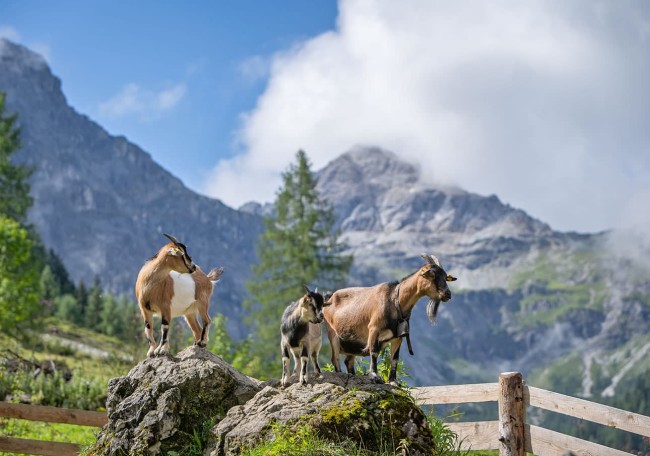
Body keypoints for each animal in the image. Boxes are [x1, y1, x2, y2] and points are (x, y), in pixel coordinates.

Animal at [323, 254, 456, 384]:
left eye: (445, 277)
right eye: (431, 274)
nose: (448, 294)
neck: (395, 300)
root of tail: (329, 299)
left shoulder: (398, 337)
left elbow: (395, 358)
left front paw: (393, 381)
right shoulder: (374, 329)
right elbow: (374, 352)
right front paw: (374, 376)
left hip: (352, 345)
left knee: (348, 361)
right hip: (333, 335)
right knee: (335, 358)